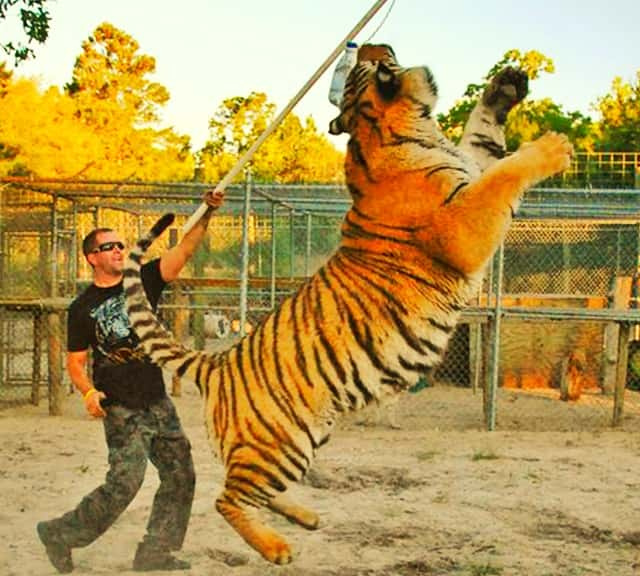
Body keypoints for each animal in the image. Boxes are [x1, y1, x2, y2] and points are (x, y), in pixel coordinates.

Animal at [123, 44, 572, 565]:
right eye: (375, 62)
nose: (367, 47)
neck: (401, 128)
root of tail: (218, 362)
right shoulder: (460, 227)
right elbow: (505, 173)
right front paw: (552, 147)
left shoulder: (470, 165)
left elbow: (483, 135)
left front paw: (505, 85)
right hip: (282, 443)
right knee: (227, 498)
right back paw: (277, 548)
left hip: (304, 437)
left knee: (251, 490)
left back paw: (305, 517)